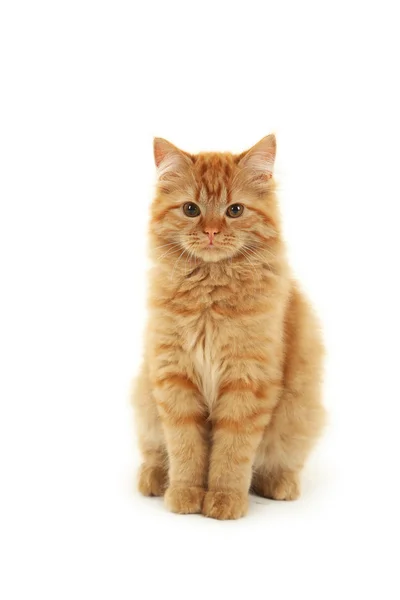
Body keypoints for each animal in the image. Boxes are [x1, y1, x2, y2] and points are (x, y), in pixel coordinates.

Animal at [133, 136, 326, 520]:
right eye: (190, 209)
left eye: (235, 210)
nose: (210, 231)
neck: (210, 293)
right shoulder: (174, 376)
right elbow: (185, 449)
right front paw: (185, 494)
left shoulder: (247, 381)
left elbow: (231, 454)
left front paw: (224, 499)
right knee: (155, 452)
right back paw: (154, 478)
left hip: (301, 413)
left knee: (282, 461)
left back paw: (279, 484)